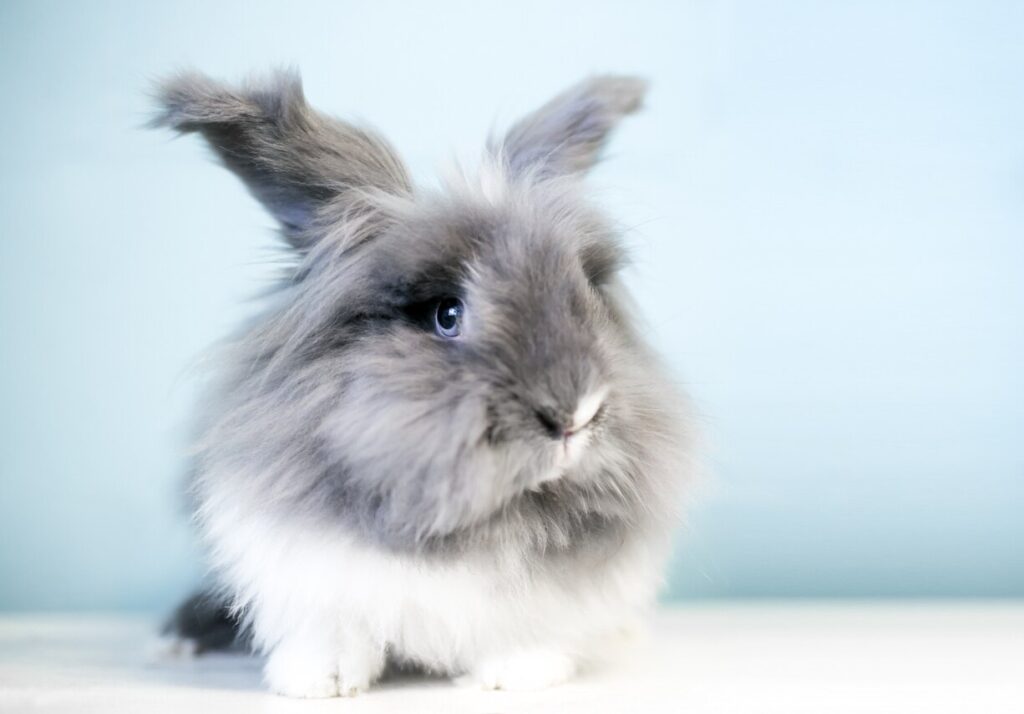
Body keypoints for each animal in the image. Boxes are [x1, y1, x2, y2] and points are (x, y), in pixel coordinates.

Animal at [152, 69, 693, 698]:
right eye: (446, 314)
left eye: (585, 292)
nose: (574, 413)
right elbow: (331, 627)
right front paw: (320, 681)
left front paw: (517, 673)